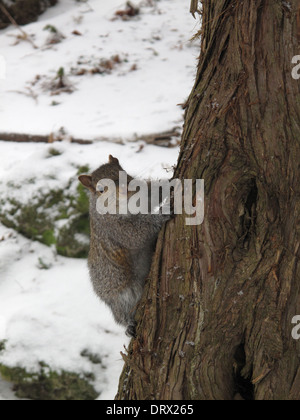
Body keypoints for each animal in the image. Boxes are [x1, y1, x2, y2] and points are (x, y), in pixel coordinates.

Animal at [78, 155, 170, 338]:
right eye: (101, 189)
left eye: (123, 172)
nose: (124, 188)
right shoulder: (115, 227)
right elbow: (136, 235)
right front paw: (165, 211)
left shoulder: (145, 194)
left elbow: (154, 191)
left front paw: (173, 183)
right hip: (120, 295)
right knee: (121, 313)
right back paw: (128, 324)